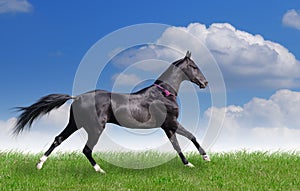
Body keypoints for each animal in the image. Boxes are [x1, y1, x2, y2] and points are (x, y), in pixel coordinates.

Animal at [14, 50, 210, 173]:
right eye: (194, 67)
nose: (205, 82)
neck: (163, 94)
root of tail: (77, 98)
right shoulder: (171, 123)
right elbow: (191, 136)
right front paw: (205, 158)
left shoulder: (167, 127)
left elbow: (177, 146)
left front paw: (188, 164)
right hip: (95, 128)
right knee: (86, 150)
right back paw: (100, 170)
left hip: (75, 124)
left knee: (58, 139)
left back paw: (39, 165)